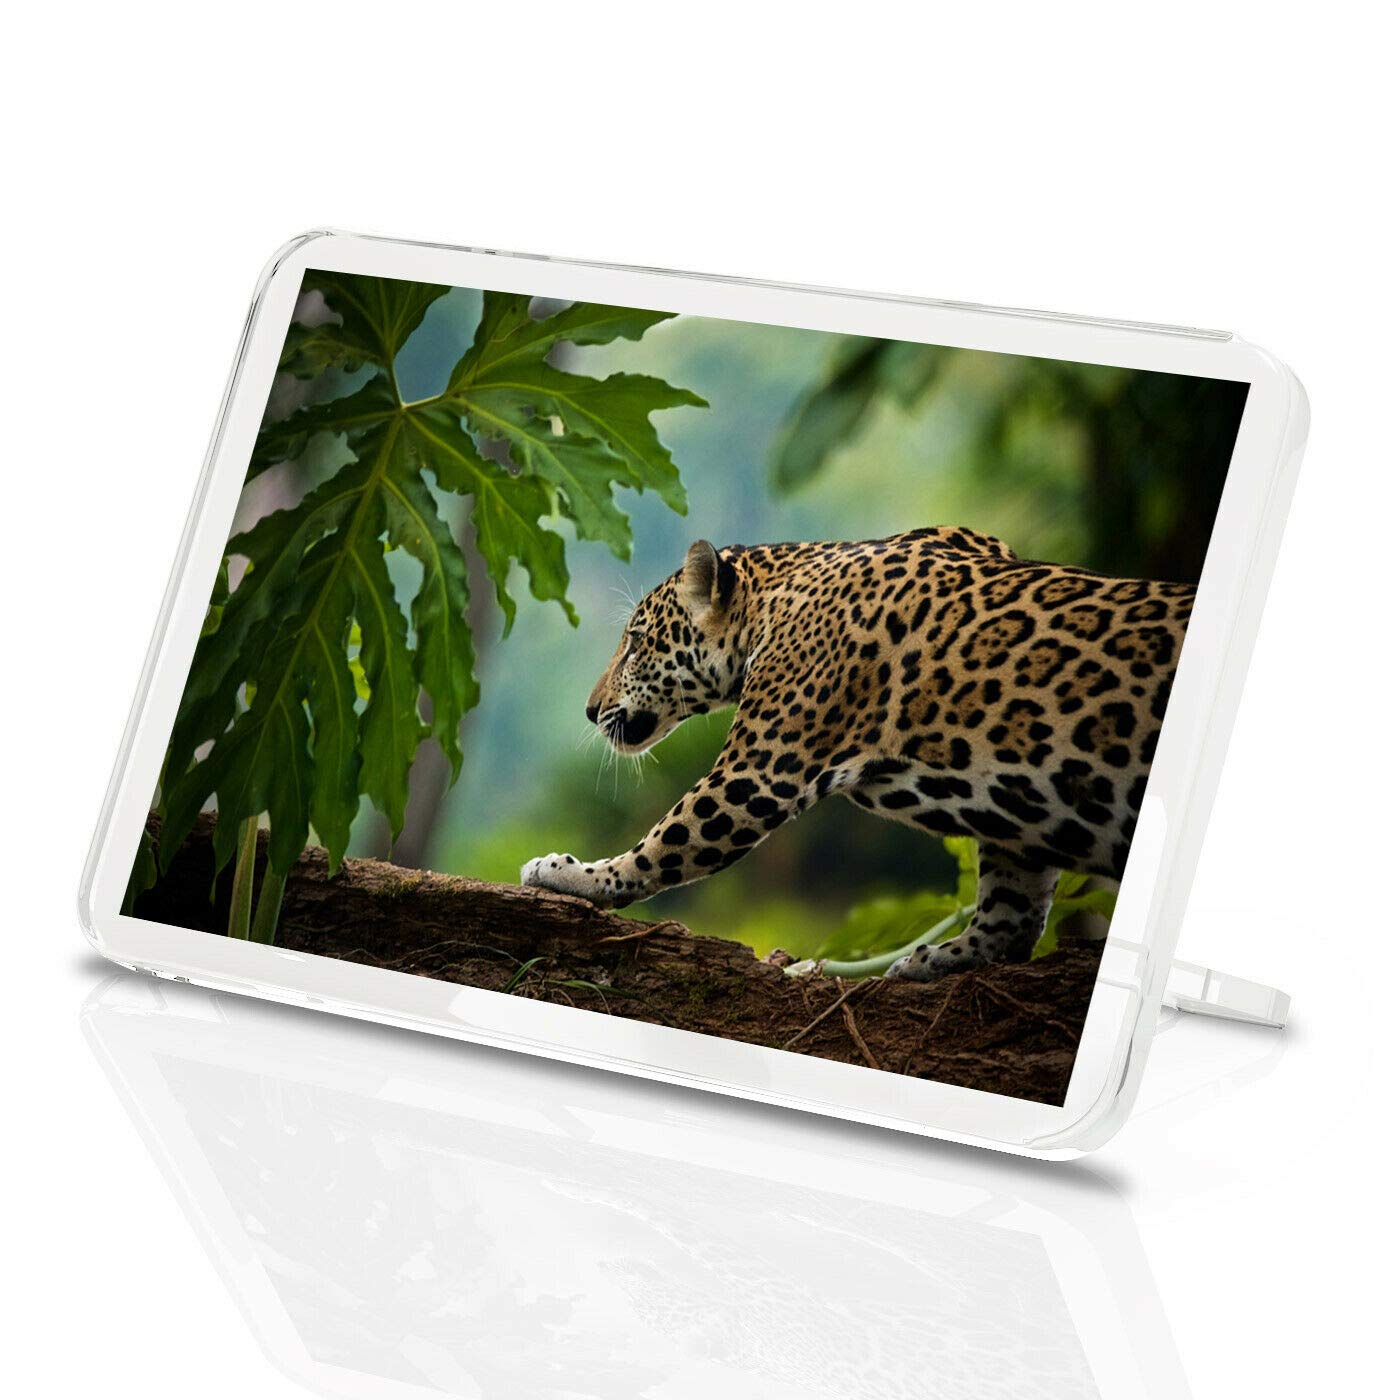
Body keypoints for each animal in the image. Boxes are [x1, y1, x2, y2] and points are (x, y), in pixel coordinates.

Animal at [521, 528, 1194, 981]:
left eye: (636, 643)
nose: (589, 710)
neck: (769, 604)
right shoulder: (1020, 816)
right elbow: (1013, 904)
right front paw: (945, 957)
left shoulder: (756, 772)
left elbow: (664, 843)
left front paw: (571, 875)